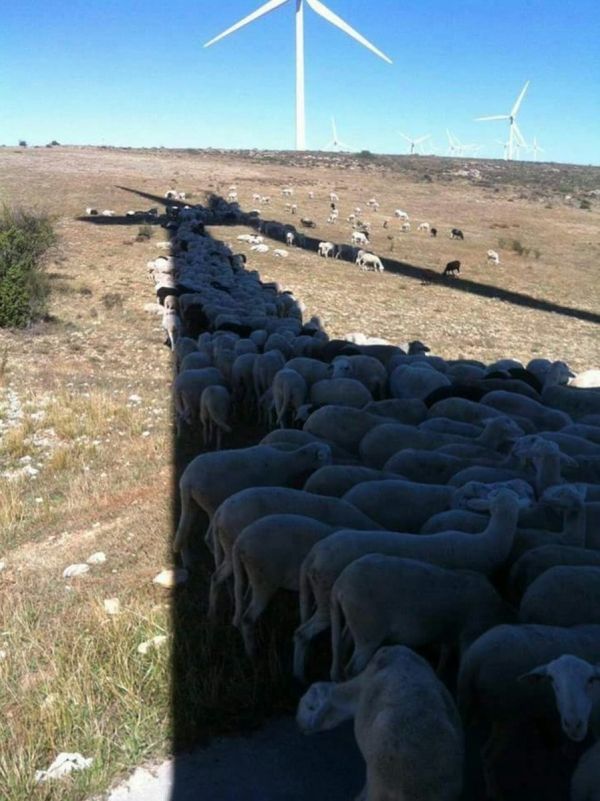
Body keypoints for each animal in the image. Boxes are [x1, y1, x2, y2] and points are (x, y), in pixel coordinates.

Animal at [174, 443, 332, 568]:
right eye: (323, 457)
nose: (330, 467)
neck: (287, 462)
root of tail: (187, 480)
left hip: (192, 501)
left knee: (184, 528)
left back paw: (188, 561)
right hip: (211, 503)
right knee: (207, 537)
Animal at [232, 514, 335, 654]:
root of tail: (240, 542)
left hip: (254, 577)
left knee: (244, 603)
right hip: (265, 580)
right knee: (248, 618)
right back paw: (252, 653)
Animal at [329, 554, 510, 680]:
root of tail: (340, 584)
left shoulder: (449, 633)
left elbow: (446, 652)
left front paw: (440, 674)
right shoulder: (471, 630)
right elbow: (464, 657)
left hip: (355, 622)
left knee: (342, 643)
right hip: (368, 627)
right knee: (354, 666)